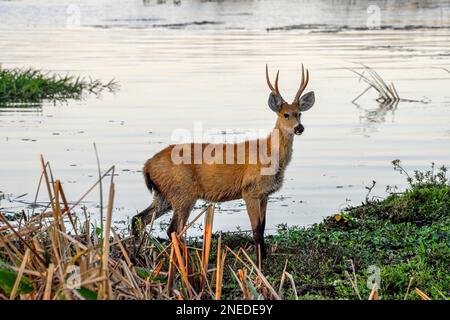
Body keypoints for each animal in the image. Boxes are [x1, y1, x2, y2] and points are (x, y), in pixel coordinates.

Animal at [133, 64, 316, 260]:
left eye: (300, 113)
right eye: (285, 114)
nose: (299, 128)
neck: (270, 155)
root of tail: (147, 166)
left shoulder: (264, 194)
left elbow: (263, 227)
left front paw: (264, 257)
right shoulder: (249, 190)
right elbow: (256, 231)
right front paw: (259, 262)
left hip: (164, 194)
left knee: (138, 219)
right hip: (183, 193)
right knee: (173, 229)